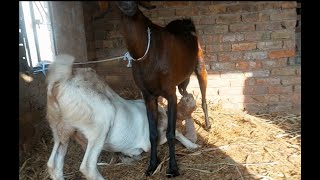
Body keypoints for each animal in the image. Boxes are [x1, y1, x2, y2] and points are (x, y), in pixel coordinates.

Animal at [46, 54, 199, 180]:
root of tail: (60, 82)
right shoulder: (150, 140)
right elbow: (175, 133)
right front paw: (193, 145)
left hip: (60, 130)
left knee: (53, 164)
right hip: (101, 124)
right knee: (87, 166)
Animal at [116, 1, 211, 178]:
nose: (128, 6)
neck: (146, 54)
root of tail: (185, 22)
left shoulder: (170, 94)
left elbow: (170, 133)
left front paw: (173, 168)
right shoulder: (148, 97)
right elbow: (153, 133)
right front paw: (152, 165)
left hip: (200, 67)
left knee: (203, 97)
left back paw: (208, 125)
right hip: (183, 81)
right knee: (185, 92)